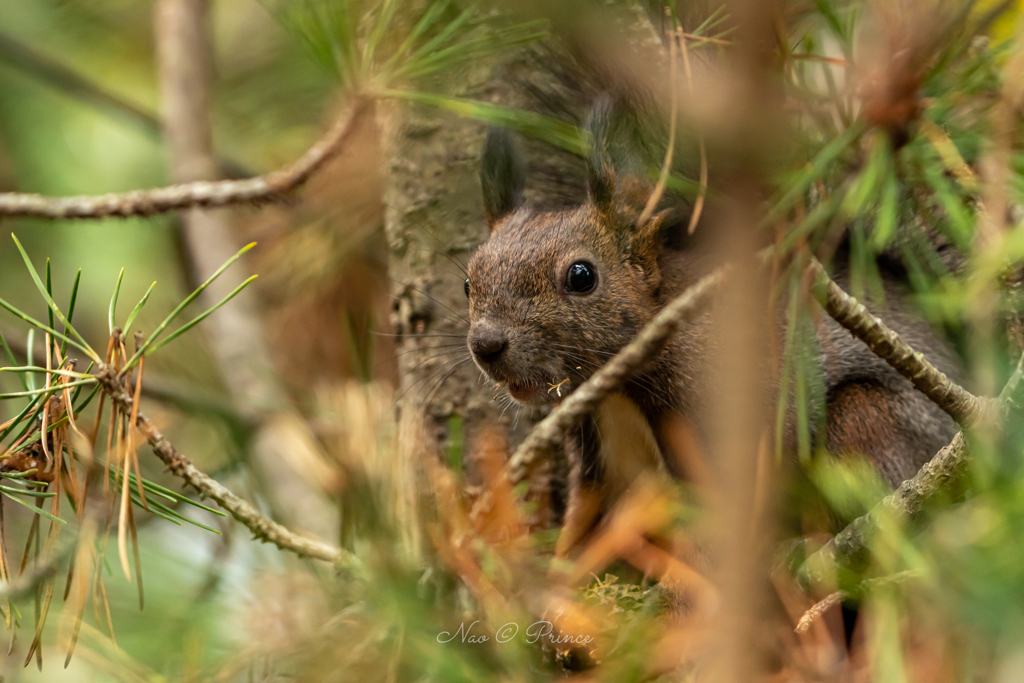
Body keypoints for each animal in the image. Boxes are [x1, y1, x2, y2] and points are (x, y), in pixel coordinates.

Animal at [464, 98, 966, 557]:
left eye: (582, 276)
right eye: (468, 281)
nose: (486, 344)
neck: (618, 394)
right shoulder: (599, 463)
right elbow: (583, 533)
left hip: (866, 423)